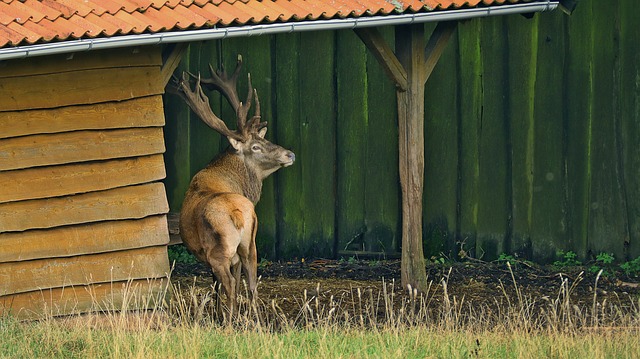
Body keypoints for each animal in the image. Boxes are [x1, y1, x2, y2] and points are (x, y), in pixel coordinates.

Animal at [174, 54, 296, 316]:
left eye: (264, 139)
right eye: (256, 146)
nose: (290, 154)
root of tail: (238, 213)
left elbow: (217, 285)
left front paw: (217, 313)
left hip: (220, 251)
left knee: (229, 283)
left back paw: (228, 319)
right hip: (251, 245)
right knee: (251, 283)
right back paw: (254, 319)